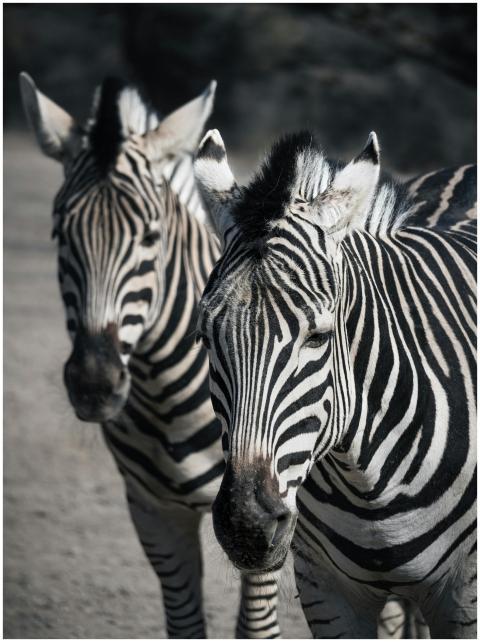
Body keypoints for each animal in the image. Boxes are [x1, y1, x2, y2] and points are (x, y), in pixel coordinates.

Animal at [19, 73, 283, 639]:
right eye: (59, 234)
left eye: (149, 236)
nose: (95, 383)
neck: (167, 400)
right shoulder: (153, 512)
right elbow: (184, 623)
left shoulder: (270, 518)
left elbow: (256, 626)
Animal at [193, 128, 476, 638]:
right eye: (206, 336)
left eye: (319, 337)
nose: (248, 525)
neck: (365, 482)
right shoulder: (325, 589)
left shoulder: (464, 592)